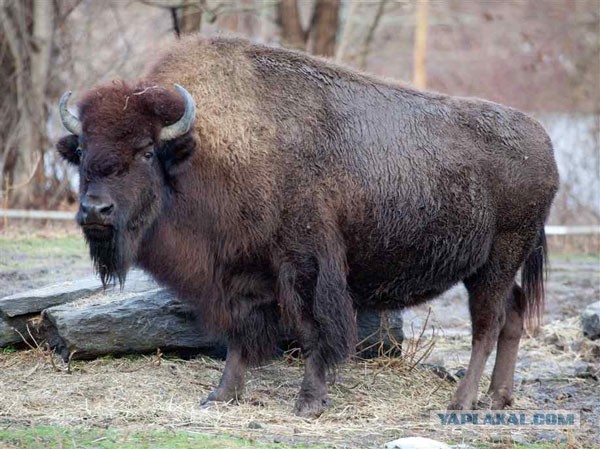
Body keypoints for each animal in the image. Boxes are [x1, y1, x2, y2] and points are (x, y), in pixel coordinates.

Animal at [56, 36, 556, 416]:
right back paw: (498, 398)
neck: (209, 149)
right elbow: (238, 336)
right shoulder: (238, 273)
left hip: (497, 261)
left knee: (488, 324)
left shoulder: (307, 267)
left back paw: (462, 400)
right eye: (81, 150)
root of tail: (543, 141)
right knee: (513, 314)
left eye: (145, 151)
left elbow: (315, 331)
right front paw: (221, 395)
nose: (95, 211)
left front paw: (309, 403)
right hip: (491, 267)